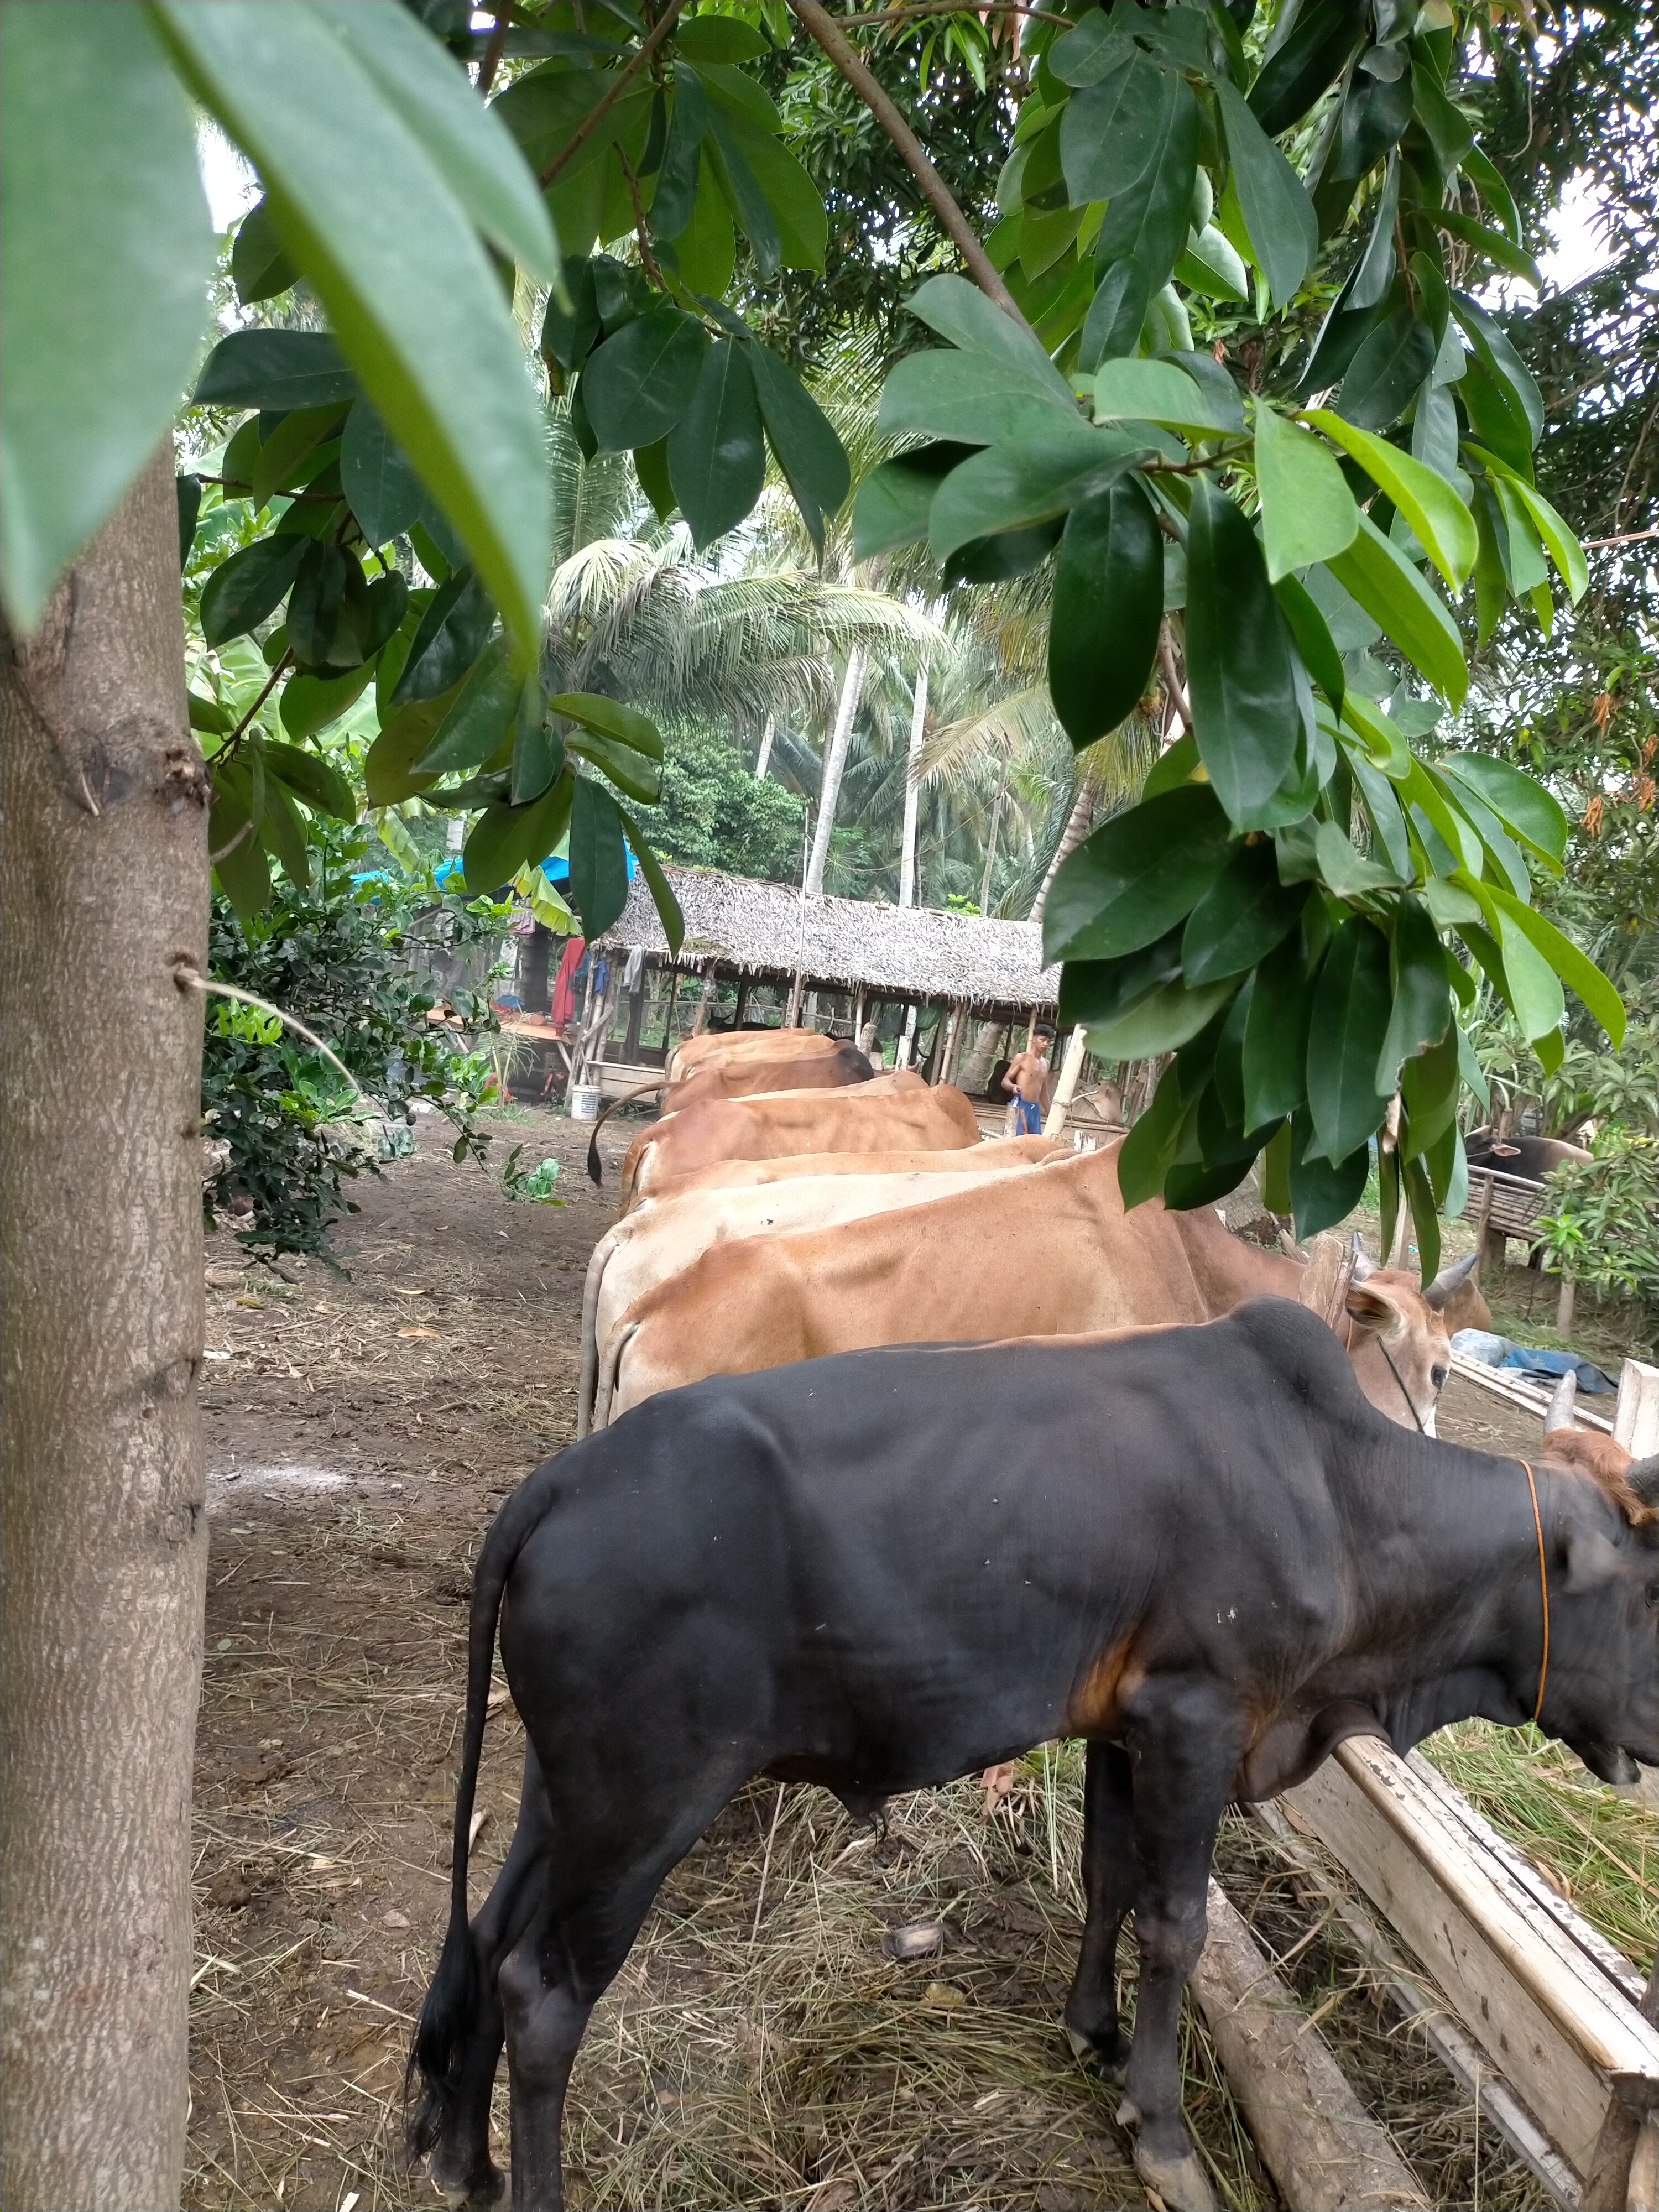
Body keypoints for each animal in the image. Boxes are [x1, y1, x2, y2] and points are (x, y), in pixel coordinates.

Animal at [407, 1299, 1659, 2212]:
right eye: (1647, 1587)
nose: (1654, 1732)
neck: (1341, 1490)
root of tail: (565, 1476)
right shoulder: (1198, 1719)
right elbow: (1175, 1924)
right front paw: (1162, 2132)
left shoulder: (1121, 1726)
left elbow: (1108, 1879)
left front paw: (1090, 2032)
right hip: (644, 1805)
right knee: (542, 1991)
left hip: (561, 1796)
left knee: (487, 1936)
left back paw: (466, 2158)